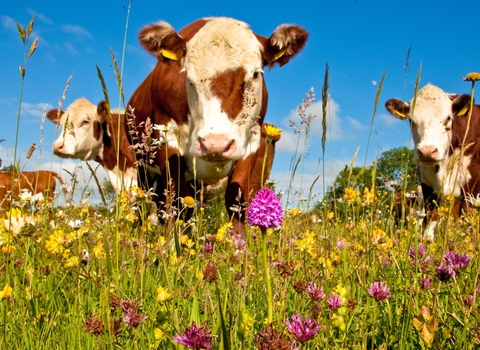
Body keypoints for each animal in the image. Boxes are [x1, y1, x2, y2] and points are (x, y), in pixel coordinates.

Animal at [127, 16, 308, 235]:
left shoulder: (252, 141)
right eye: (188, 78)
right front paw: (172, 242)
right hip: (143, 166)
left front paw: (240, 244)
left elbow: (236, 201)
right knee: (147, 201)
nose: (215, 145)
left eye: (255, 74)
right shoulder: (167, 137)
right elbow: (177, 201)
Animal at [384, 83, 480, 239]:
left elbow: (468, 218)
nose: (427, 151)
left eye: (448, 118)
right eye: (411, 121)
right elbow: (430, 219)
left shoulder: (472, 186)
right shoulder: (427, 185)